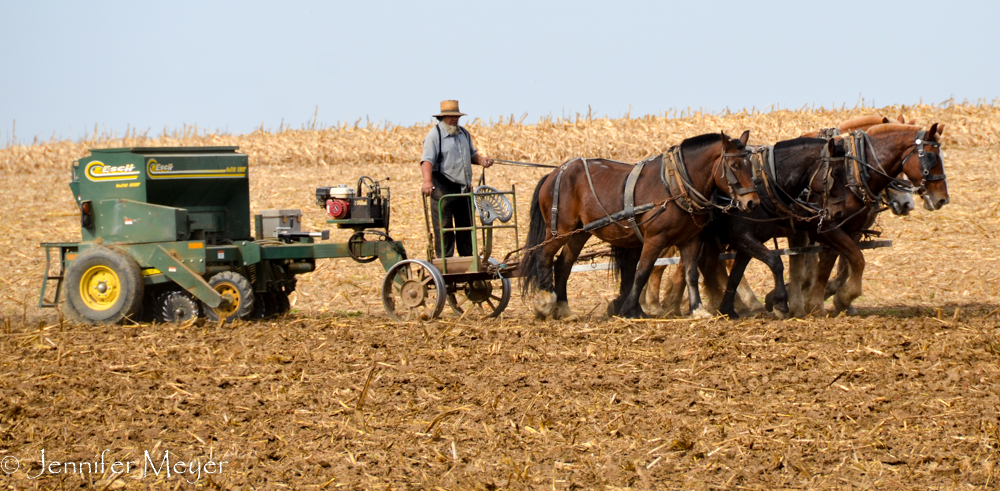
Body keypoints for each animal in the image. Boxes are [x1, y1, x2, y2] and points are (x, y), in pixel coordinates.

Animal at [516, 133, 756, 320]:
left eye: (750, 165)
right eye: (734, 166)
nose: (752, 202)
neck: (676, 184)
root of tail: (555, 172)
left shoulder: (691, 240)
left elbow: (691, 274)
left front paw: (698, 310)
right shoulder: (655, 238)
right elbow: (642, 271)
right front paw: (631, 309)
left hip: (579, 233)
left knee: (563, 265)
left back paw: (564, 310)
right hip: (560, 230)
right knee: (544, 257)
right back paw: (545, 303)